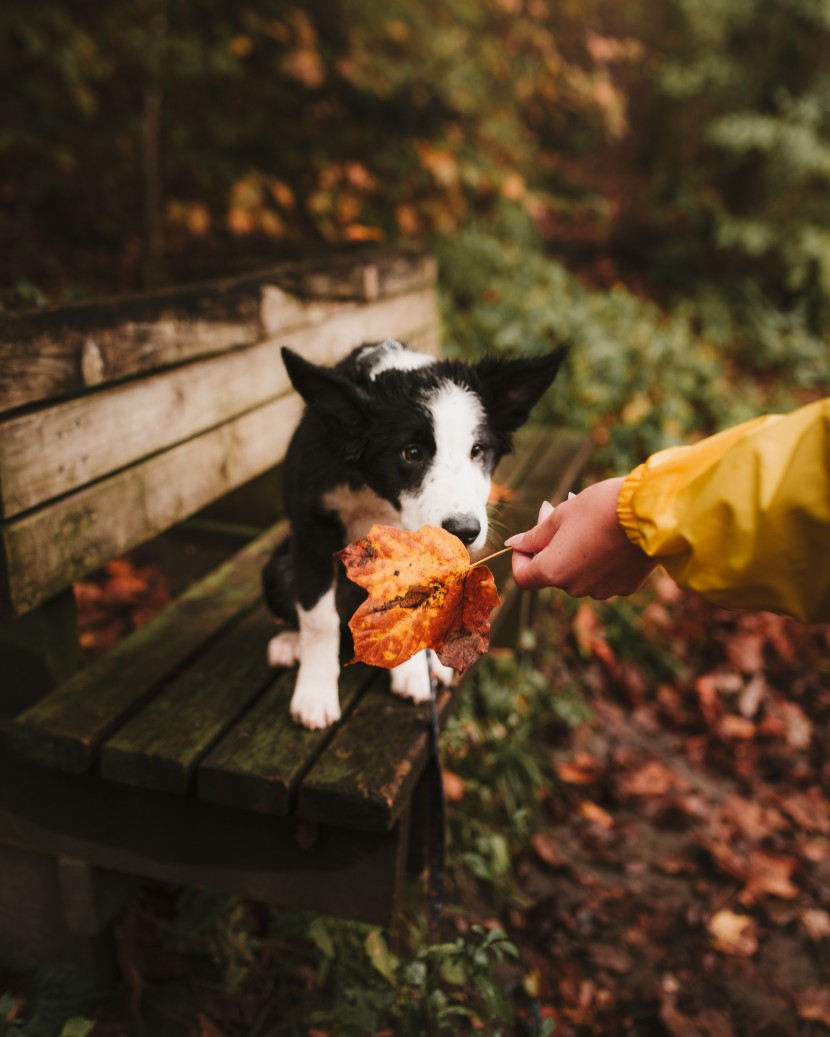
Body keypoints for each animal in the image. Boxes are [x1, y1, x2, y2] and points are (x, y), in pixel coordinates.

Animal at [262, 340, 568, 730]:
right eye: (412, 453)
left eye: (477, 451)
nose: (465, 531)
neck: (375, 490)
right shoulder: (311, 526)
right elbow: (318, 619)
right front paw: (315, 694)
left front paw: (413, 674)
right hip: (277, 568)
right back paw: (291, 643)